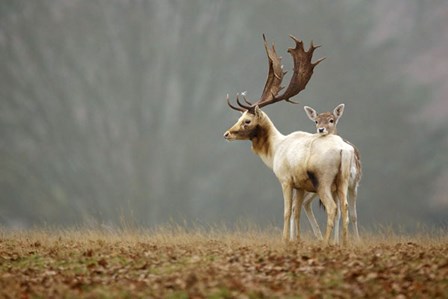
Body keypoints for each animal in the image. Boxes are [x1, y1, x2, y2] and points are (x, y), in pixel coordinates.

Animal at [222, 35, 356, 246]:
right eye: (239, 117)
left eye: (247, 121)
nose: (227, 134)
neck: (275, 150)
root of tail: (344, 150)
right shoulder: (300, 185)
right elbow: (296, 212)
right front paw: (297, 240)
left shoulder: (285, 179)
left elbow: (286, 211)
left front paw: (285, 239)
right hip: (342, 180)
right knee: (345, 207)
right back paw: (343, 243)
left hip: (323, 180)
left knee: (333, 208)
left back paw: (325, 243)